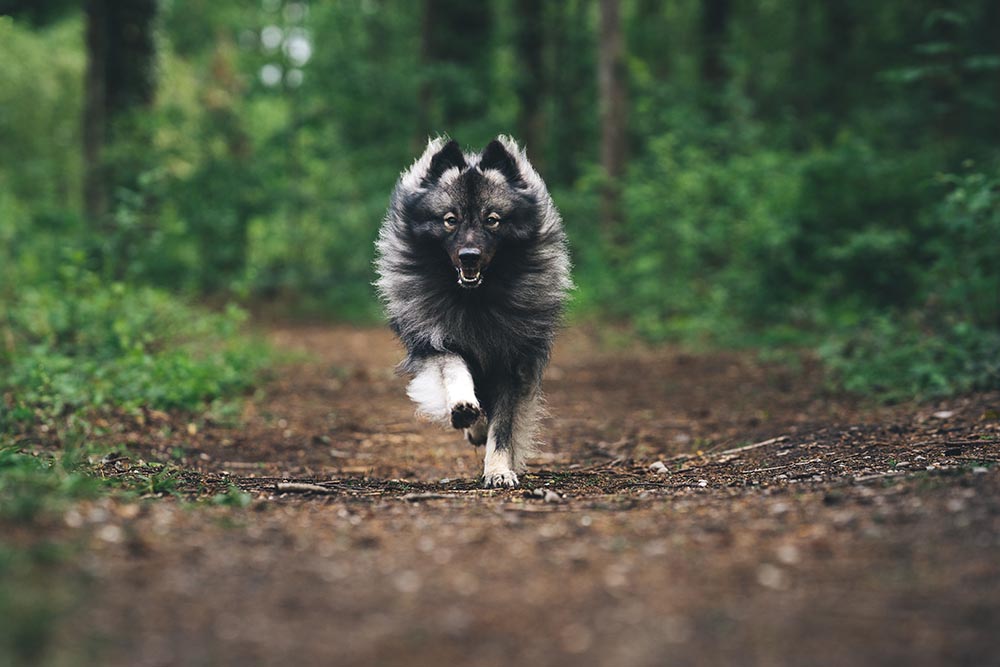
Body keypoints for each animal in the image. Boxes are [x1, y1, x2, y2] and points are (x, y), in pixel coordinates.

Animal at [376, 137, 572, 490]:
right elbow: (454, 369)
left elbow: (502, 428)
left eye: (491, 219)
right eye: (450, 219)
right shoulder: (435, 342)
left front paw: (498, 470)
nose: (469, 256)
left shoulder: (509, 364)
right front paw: (463, 406)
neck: (475, 300)